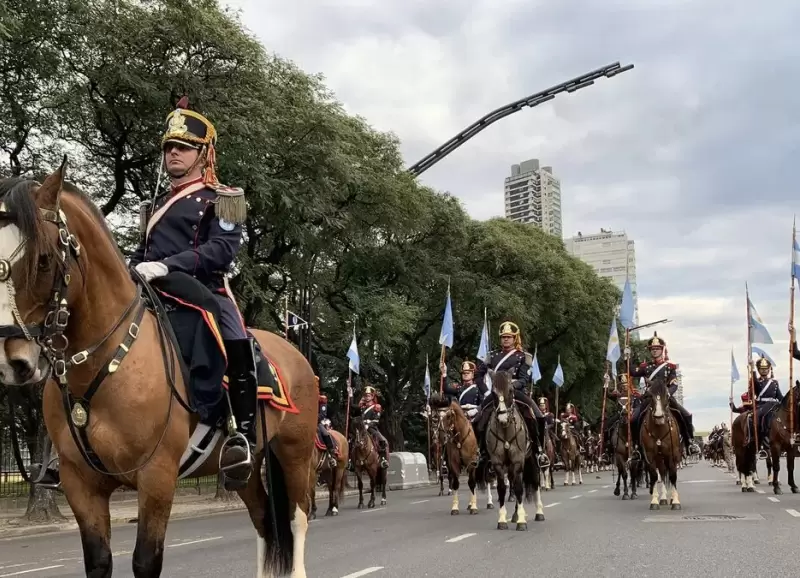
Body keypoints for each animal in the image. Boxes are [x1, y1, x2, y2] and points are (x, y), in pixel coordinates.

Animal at [0, 164, 318, 572]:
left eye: (42, 259)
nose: (13, 360)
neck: (107, 362)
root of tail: (295, 353)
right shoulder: (79, 483)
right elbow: (99, 560)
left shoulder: (157, 476)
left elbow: (146, 560)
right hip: (245, 470)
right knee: (264, 519)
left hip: (296, 454)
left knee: (297, 520)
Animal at [476, 372, 544, 528]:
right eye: (493, 393)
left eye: (511, 390)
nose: (503, 418)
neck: (506, 429)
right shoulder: (498, 462)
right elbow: (502, 488)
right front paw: (502, 520)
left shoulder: (518, 459)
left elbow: (519, 488)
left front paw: (521, 522)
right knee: (513, 481)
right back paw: (515, 514)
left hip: (531, 458)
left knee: (535, 481)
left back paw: (539, 512)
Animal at [636, 374, 680, 508]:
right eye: (650, 395)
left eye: (667, 395)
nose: (659, 417)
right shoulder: (650, 456)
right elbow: (655, 476)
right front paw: (654, 501)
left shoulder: (672, 454)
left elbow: (673, 475)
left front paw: (676, 501)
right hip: (660, 458)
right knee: (662, 472)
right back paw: (664, 498)